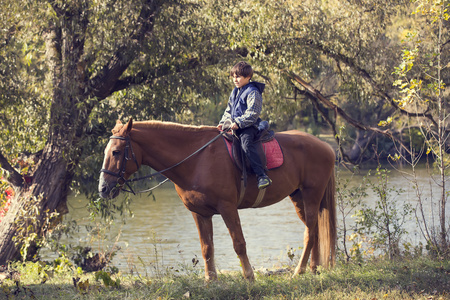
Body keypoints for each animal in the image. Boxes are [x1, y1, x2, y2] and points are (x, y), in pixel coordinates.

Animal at [99, 118, 338, 282]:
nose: (103, 188)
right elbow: (207, 247)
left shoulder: (228, 207)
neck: (197, 159)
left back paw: (299, 271)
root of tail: (326, 146)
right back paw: (313, 269)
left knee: (310, 233)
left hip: (311, 195)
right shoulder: (199, 213)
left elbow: (239, 243)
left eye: (117, 152)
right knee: (314, 231)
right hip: (298, 197)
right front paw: (210, 280)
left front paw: (249, 277)